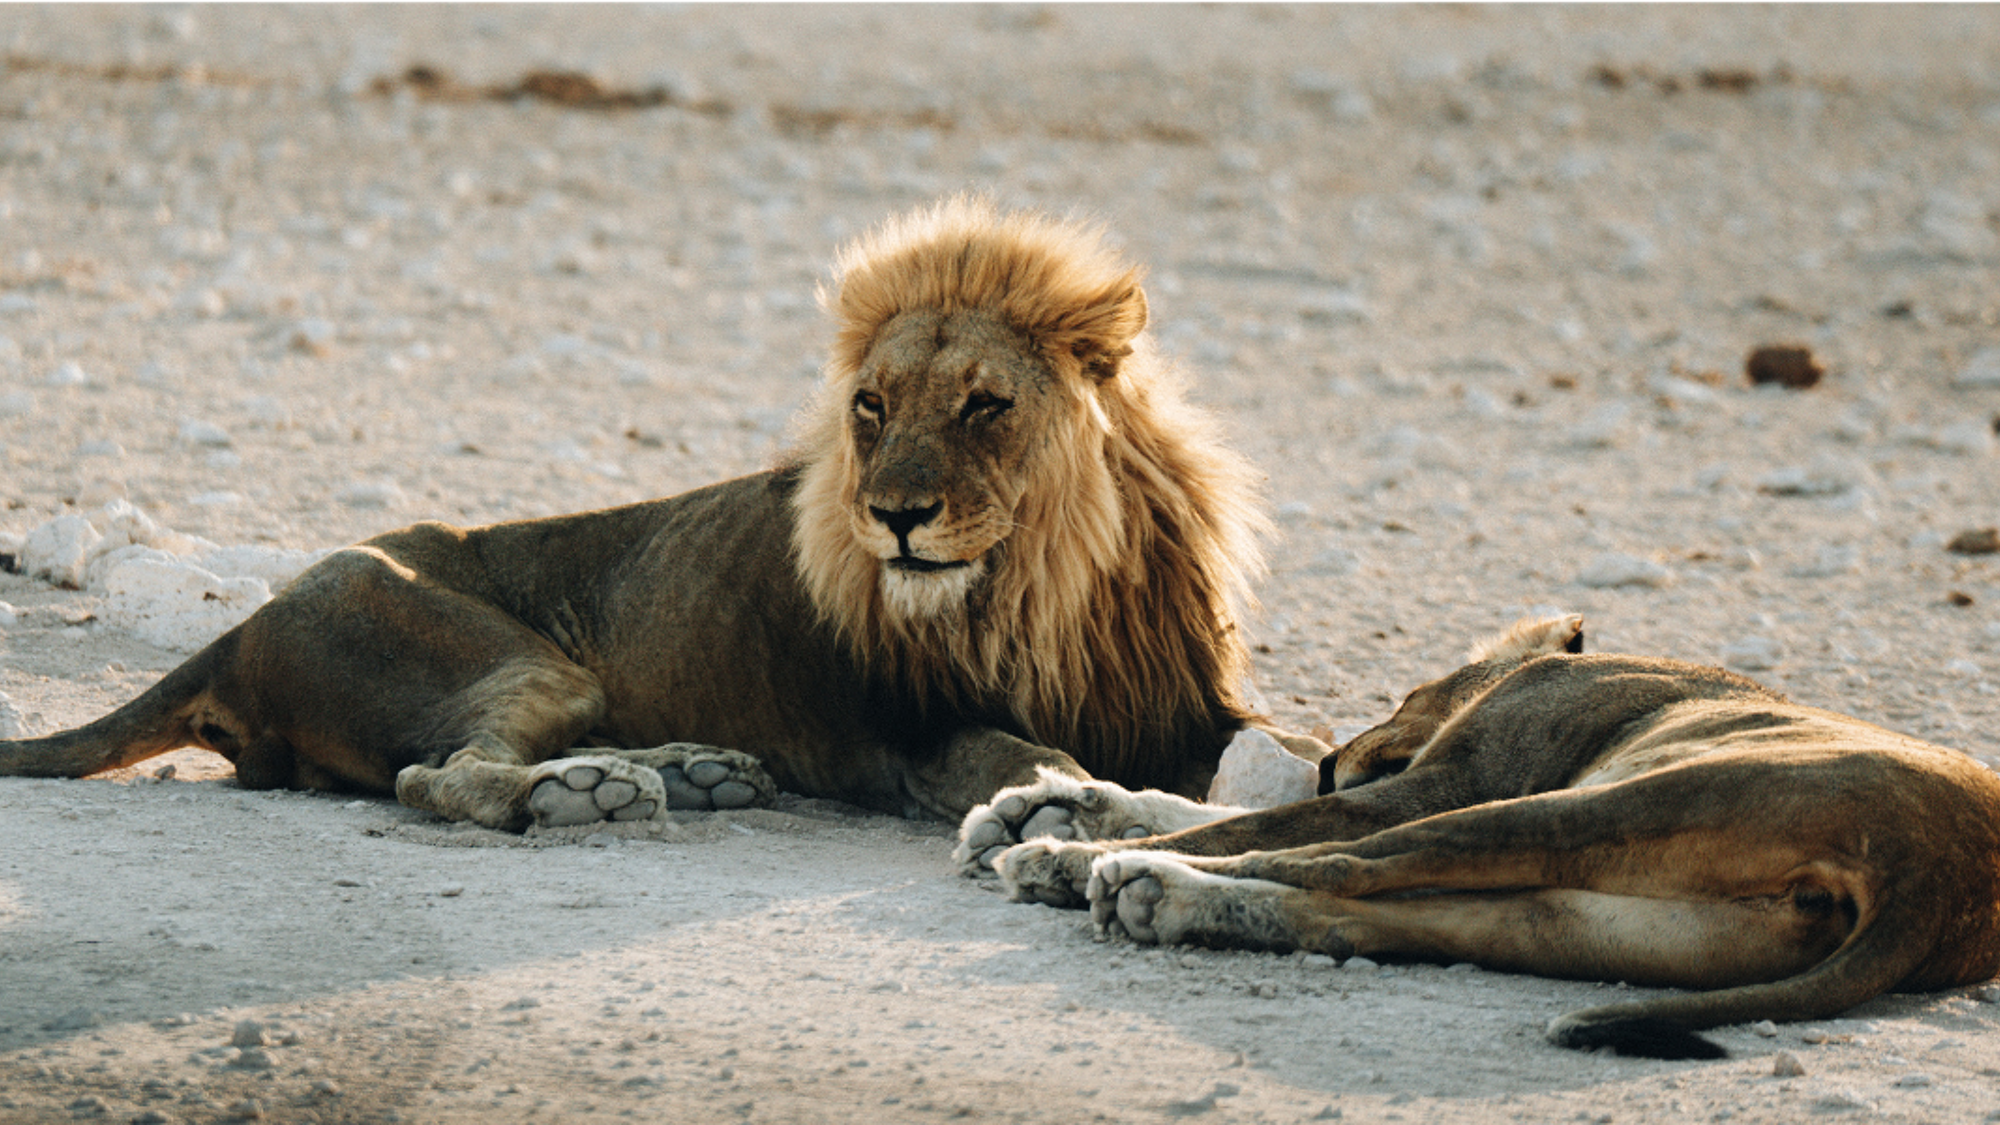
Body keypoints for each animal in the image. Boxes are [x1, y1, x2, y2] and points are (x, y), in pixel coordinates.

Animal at [0, 196, 1322, 830]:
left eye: (985, 405)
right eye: (870, 407)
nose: (893, 516)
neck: (1044, 581)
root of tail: (240, 628)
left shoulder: (1189, 704)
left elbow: (1297, 751)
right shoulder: (905, 738)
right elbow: (1020, 753)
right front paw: (1059, 802)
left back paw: (691, 770)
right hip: (496, 649)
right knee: (439, 775)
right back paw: (586, 798)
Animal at [973, 615, 2000, 1059]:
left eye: (1400, 691)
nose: (1333, 756)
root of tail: (1937, 878)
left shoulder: (1455, 775)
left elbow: (1265, 819)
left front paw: (1053, 840)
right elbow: (1223, 807)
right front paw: (1043, 807)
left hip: (1595, 803)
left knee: (1328, 862)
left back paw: (1114, 874)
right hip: (1591, 922)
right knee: (1359, 913)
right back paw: (1155, 895)